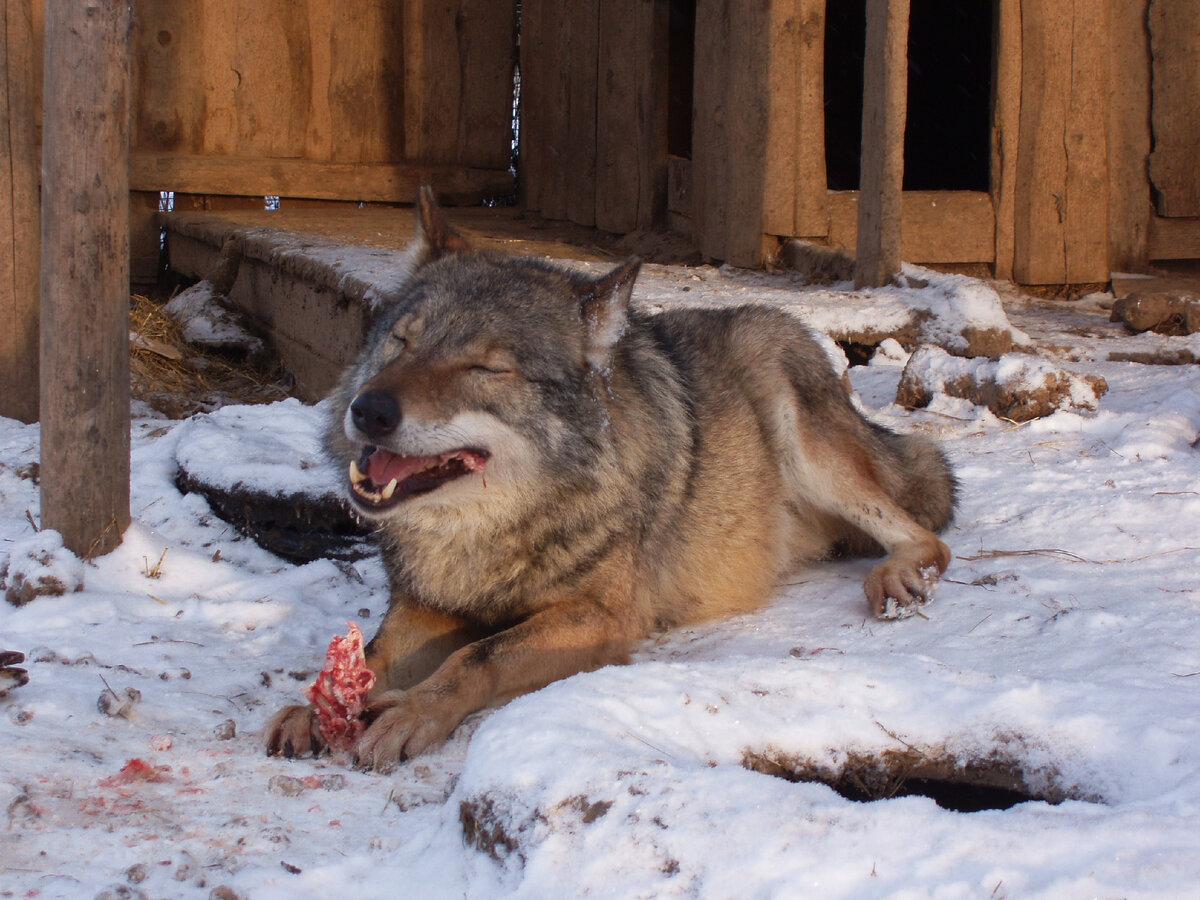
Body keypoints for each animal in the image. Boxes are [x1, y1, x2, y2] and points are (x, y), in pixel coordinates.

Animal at [265, 187, 955, 772]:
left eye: (485, 368)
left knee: (929, 538)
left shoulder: (601, 618)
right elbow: (376, 653)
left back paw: (896, 575)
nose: (370, 411)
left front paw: (413, 710)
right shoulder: (429, 605)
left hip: (802, 430)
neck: (487, 532)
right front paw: (315, 705)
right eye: (400, 342)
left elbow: (477, 656)